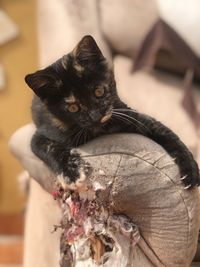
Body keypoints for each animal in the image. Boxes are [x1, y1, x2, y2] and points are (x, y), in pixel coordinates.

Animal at [25, 35, 200, 189]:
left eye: (99, 92)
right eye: (73, 107)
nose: (96, 116)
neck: (101, 130)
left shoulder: (131, 115)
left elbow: (168, 134)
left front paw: (190, 169)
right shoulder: (40, 135)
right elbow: (50, 148)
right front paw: (71, 172)